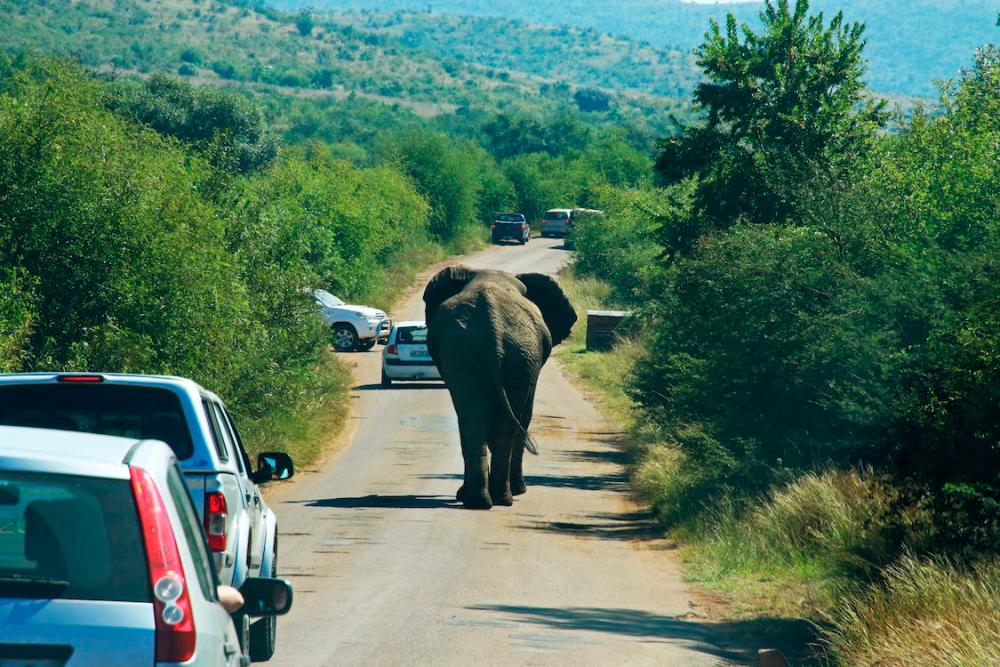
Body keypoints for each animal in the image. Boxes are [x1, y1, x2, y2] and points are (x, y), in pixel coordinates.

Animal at [423, 265, 577, 509]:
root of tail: (492, 329)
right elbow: (524, 416)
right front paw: (520, 490)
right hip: (514, 354)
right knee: (501, 423)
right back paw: (502, 497)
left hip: (476, 353)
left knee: (475, 420)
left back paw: (482, 500)